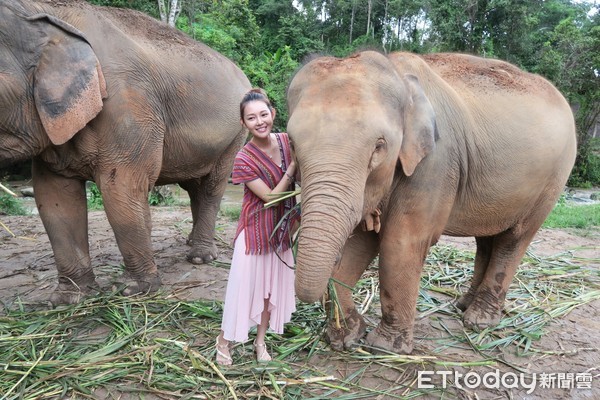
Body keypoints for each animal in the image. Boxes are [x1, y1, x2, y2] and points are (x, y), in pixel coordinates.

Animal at [0, 0, 251, 304]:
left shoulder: (129, 106)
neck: (40, 10)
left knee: (212, 187)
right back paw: (191, 242)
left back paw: (200, 257)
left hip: (235, 135)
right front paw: (67, 299)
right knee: (194, 188)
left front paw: (132, 290)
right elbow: (54, 200)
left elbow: (121, 188)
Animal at [288, 50, 580, 354]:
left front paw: (386, 347)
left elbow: (399, 244)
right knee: (486, 240)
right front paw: (346, 338)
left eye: (379, 146)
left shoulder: (436, 163)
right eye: (293, 144)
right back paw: (463, 305)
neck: (397, 72)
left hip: (553, 180)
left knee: (513, 240)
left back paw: (479, 321)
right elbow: (359, 242)